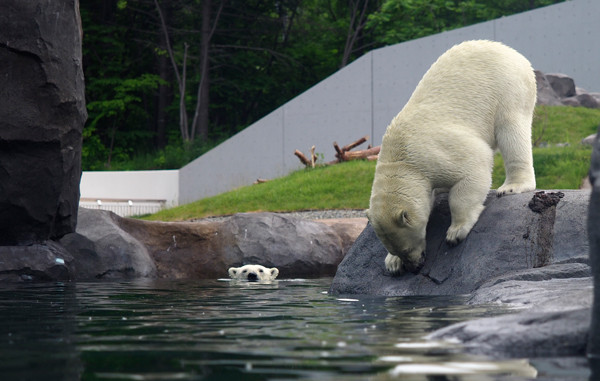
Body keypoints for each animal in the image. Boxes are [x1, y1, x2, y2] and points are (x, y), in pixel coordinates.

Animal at [368, 40, 536, 274]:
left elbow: (474, 166)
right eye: (397, 250)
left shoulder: (434, 153)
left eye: (406, 248)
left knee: (512, 130)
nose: (415, 267)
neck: (400, 159)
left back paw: (513, 186)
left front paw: (455, 232)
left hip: (509, 88)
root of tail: (513, 52)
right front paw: (392, 263)